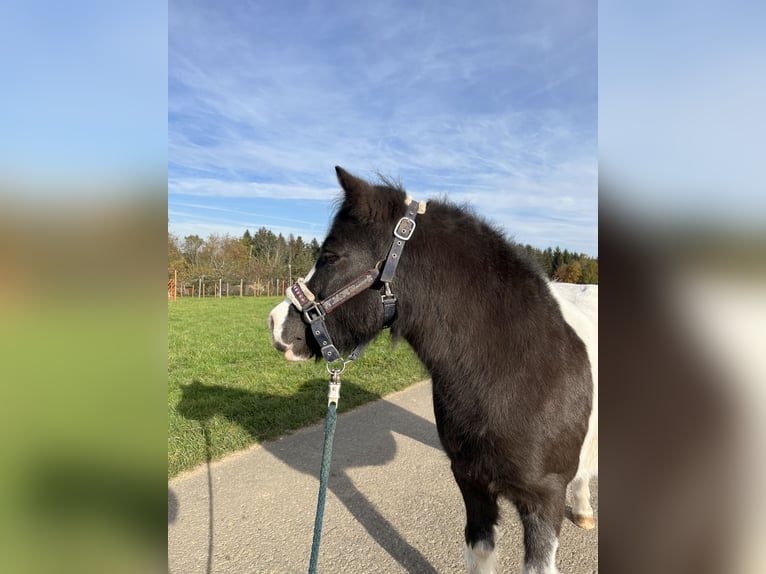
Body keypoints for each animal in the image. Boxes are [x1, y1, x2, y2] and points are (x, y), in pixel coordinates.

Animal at [270, 168, 600, 574]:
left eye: (331, 255)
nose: (276, 327)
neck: (517, 370)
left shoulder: (544, 500)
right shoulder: (472, 484)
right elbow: (480, 553)